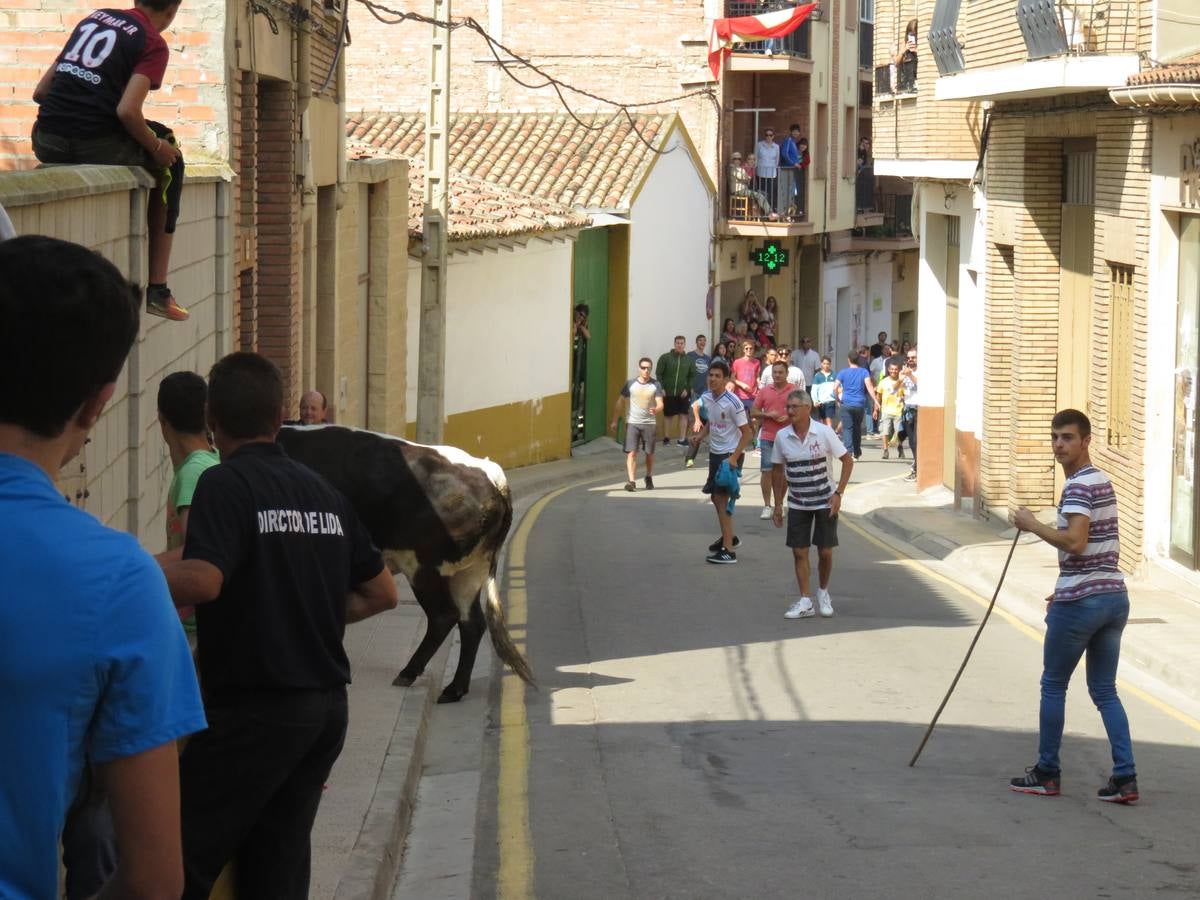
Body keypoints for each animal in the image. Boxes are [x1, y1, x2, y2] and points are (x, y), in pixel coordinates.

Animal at [278, 427, 532, 705]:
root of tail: (490, 472)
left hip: (424, 567)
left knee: (444, 616)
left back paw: (409, 673)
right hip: (470, 571)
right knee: (472, 622)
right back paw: (454, 689)